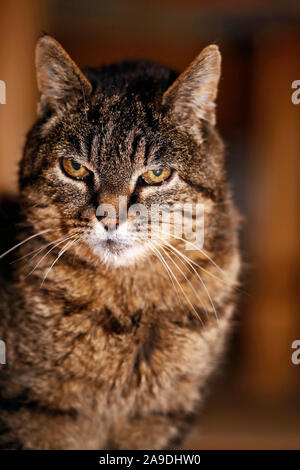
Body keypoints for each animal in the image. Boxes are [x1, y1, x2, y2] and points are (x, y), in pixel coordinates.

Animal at [0, 35, 240, 450]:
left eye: (156, 174)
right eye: (75, 168)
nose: (110, 217)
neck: (127, 301)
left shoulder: (160, 417)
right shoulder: (32, 412)